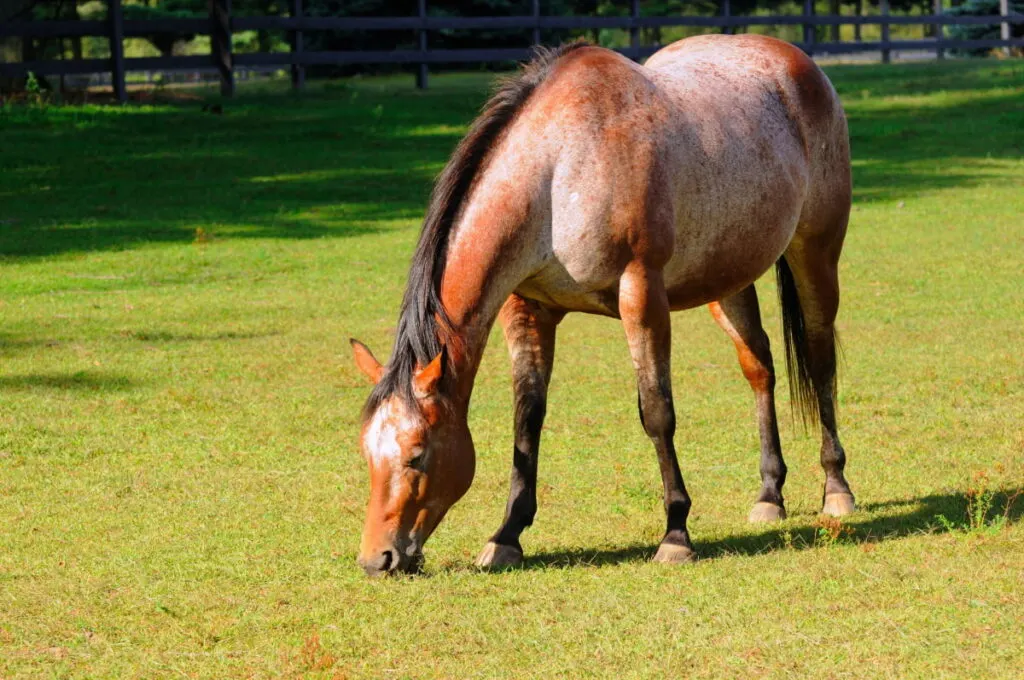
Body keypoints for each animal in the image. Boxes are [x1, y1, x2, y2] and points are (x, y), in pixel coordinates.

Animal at [352, 34, 856, 577]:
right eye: (367, 453)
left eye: (417, 454)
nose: (378, 558)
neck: (560, 169)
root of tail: (794, 59)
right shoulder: (528, 309)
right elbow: (527, 417)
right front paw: (507, 534)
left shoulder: (642, 295)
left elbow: (656, 412)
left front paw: (676, 533)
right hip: (729, 278)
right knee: (759, 368)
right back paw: (769, 495)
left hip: (816, 254)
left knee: (821, 361)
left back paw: (836, 489)